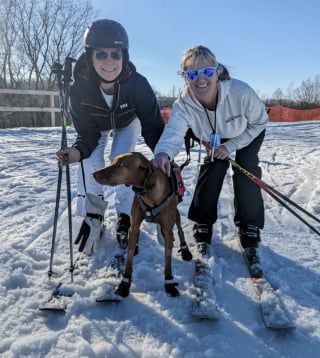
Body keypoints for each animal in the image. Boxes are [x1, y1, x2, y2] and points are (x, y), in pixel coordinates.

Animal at [92, 152, 192, 298]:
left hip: (176, 214)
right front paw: (124, 284)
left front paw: (169, 284)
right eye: (113, 161)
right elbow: (129, 258)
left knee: (180, 229)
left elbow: (168, 261)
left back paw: (185, 250)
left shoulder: (168, 230)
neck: (149, 195)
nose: (94, 173)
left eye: (121, 164)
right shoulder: (133, 227)